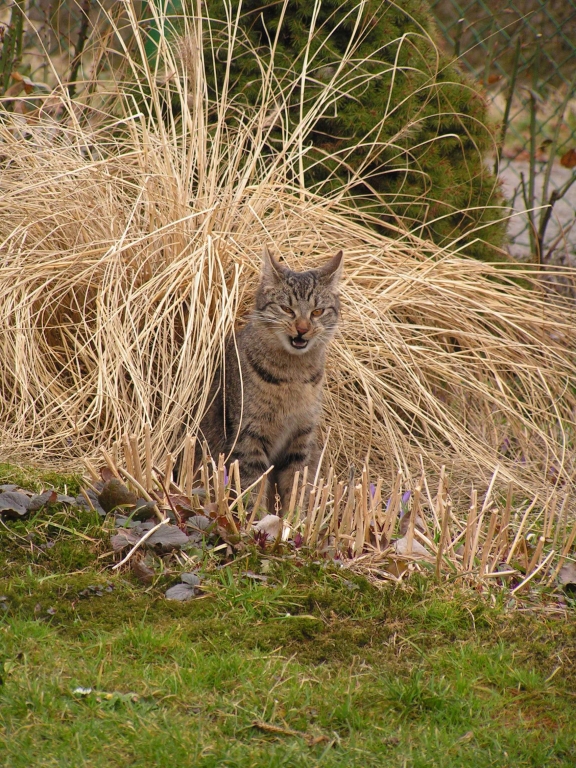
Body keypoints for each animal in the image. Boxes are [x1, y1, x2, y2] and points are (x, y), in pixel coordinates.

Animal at [198, 246, 342, 510]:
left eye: (317, 311)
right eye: (287, 309)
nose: (302, 329)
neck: (293, 376)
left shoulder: (301, 439)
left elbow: (297, 487)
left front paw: (295, 519)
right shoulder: (248, 438)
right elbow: (252, 488)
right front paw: (256, 519)